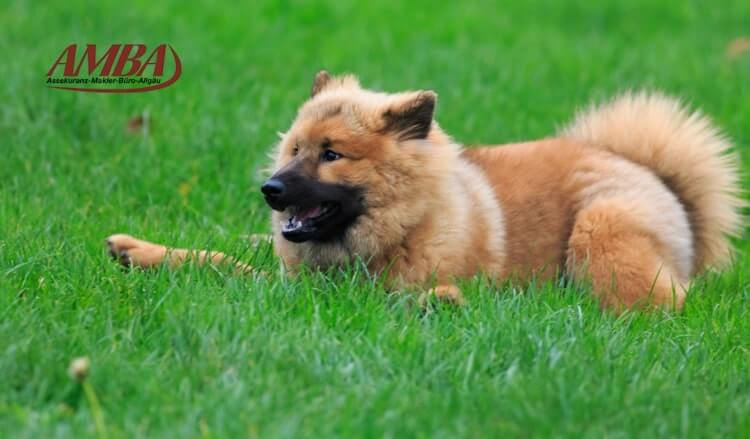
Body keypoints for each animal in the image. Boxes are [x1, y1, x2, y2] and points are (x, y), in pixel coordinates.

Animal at [106, 72, 748, 312]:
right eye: (293, 150)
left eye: (332, 155)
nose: (271, 189)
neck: (406, 221)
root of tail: (652, 174)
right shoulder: (287, 270)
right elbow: (221, 260)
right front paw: (142, 252)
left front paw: (437, 299)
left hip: (602, 228)